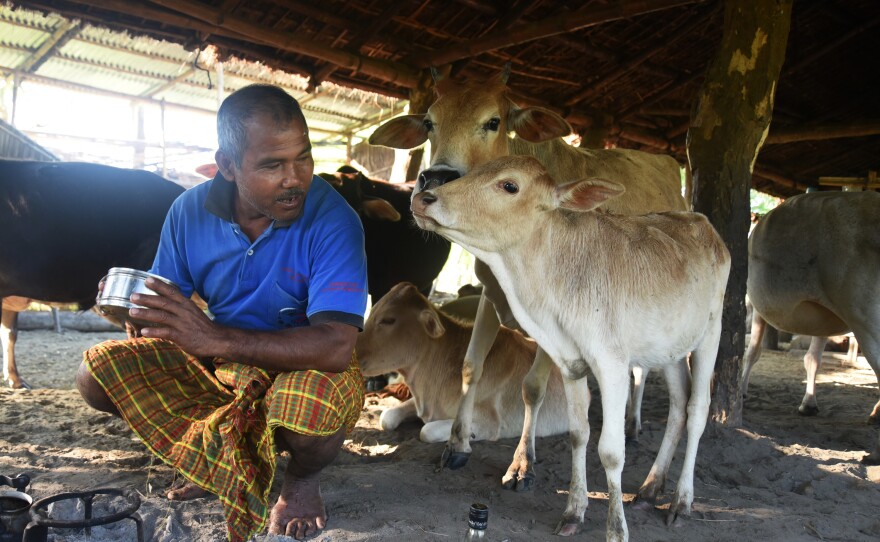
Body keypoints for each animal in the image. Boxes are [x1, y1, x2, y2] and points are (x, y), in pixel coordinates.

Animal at [412, 155, 728, 540]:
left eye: (509, 185)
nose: (424, 198)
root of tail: (701, 222)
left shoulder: (612, 364)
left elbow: (611, 450)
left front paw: (616, 529)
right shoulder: (570, 363)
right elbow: (579, 434)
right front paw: (574, 512)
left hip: (710, 331)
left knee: (697, 410)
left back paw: (681, 502)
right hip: (669, 349)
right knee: (678, 405)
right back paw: (651, 487)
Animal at [744, 189, 880, 466]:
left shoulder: (757, 307)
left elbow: (752, 351)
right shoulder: (825, 316)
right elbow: (812, 358)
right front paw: (808, 403)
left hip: (865, 319)